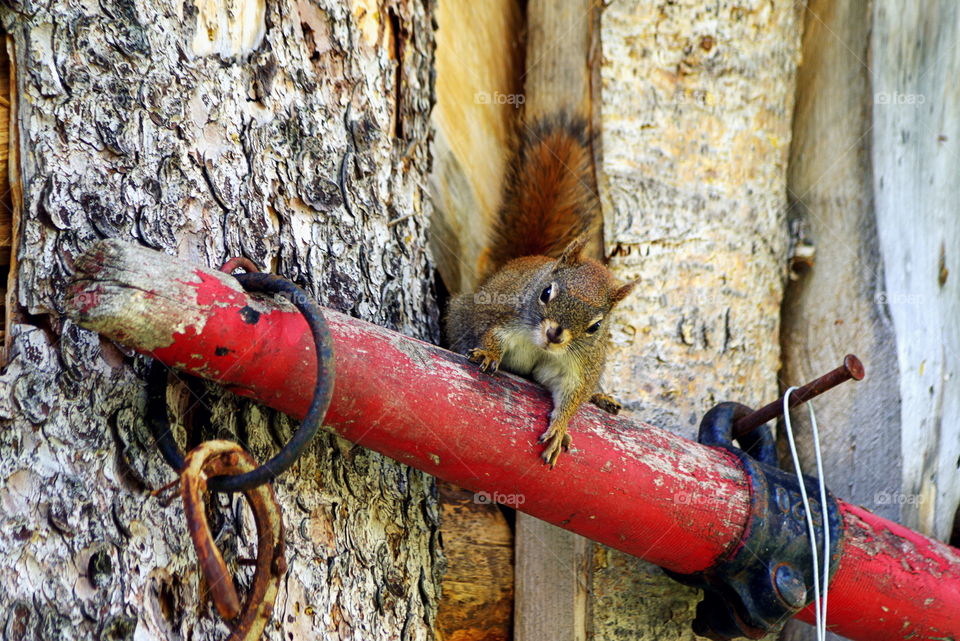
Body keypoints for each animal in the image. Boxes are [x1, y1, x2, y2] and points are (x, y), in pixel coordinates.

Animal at [444, 115, 636, 467]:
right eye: (546, 293)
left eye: (596, 327)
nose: (555, 335)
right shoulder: (508, 318)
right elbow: (494, 336)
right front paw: (490, 354)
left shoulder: (579, 366)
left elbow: (572, 396)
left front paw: (560, 427)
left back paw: (601, 396)